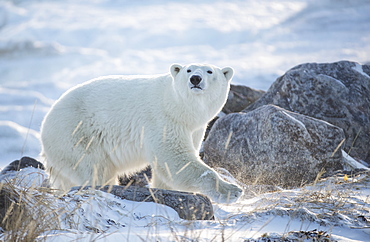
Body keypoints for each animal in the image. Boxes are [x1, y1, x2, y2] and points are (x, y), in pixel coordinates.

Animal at [41, 62, 243, 202]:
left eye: (210, 71)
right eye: (188, 70)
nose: (195, 79)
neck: (177, 106)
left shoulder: (194, 129)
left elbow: (168, 169)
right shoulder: (163, 120)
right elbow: (175, 160)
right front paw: (232, 191)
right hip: (77, 134)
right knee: (96, 170)